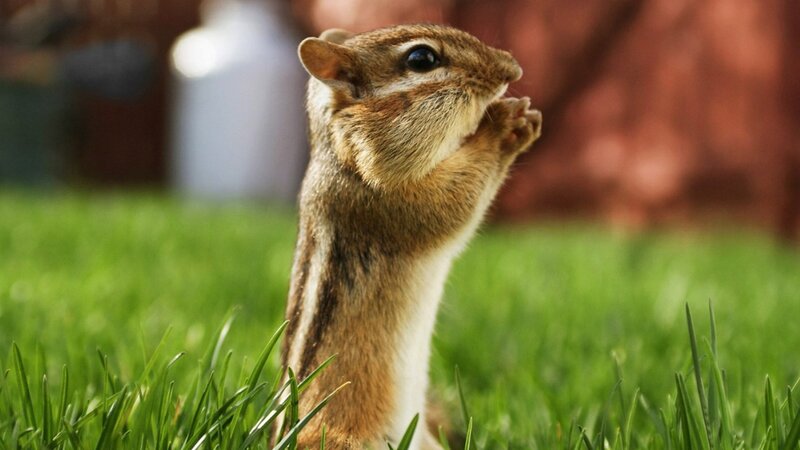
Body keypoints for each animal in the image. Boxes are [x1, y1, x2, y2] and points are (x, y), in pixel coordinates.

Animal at [279, 24, 542, 449]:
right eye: (422, 59)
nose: (513, 69)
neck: (340, 152)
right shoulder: (387, 200)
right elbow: (451, 206)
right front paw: (504, 126)